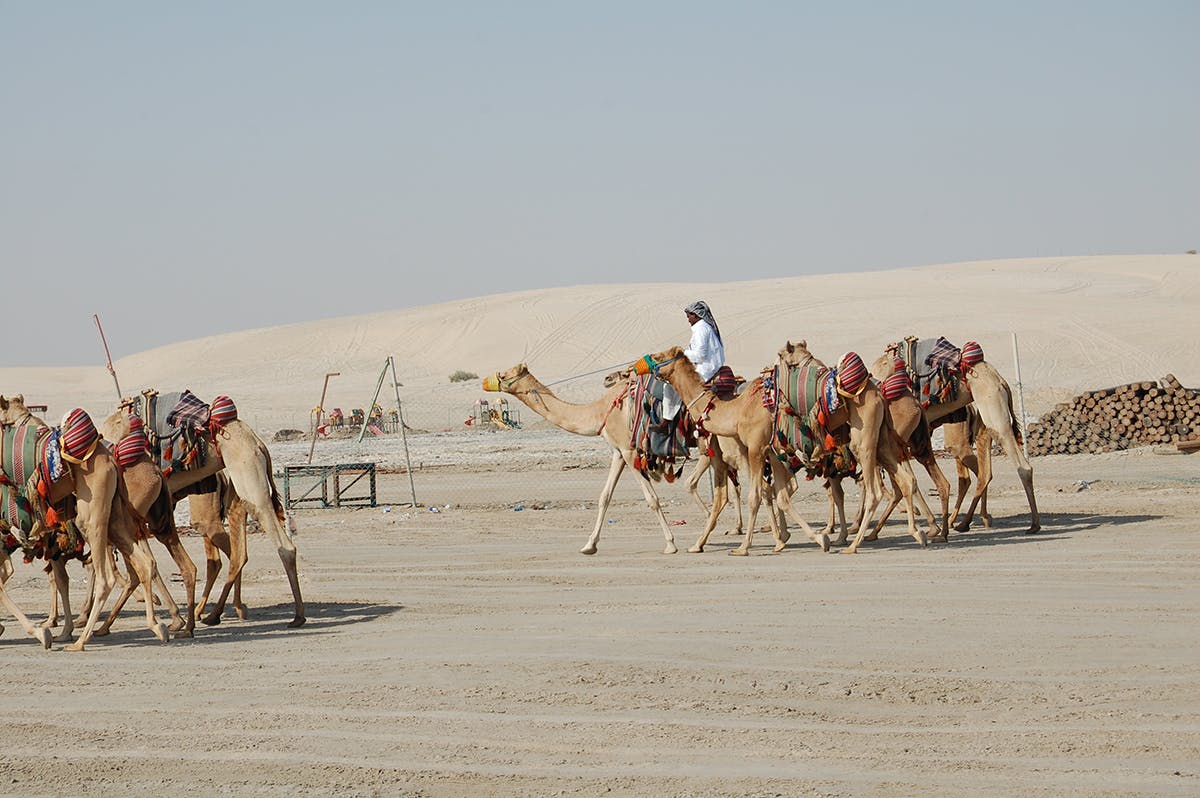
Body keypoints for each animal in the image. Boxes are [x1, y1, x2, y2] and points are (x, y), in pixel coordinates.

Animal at [100, 396, 304, 624]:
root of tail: (258, 442)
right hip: (234, 493)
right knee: (236, 553)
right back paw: (221, 611)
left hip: (246, 476)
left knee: (278, 543)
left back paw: (294, 615)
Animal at [873, 338, 1041, 532]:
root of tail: (1000, 379)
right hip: (983, 421)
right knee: (982, 472)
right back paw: (970, 520)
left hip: (992, 411)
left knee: (1018, 466)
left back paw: (1031, 524)